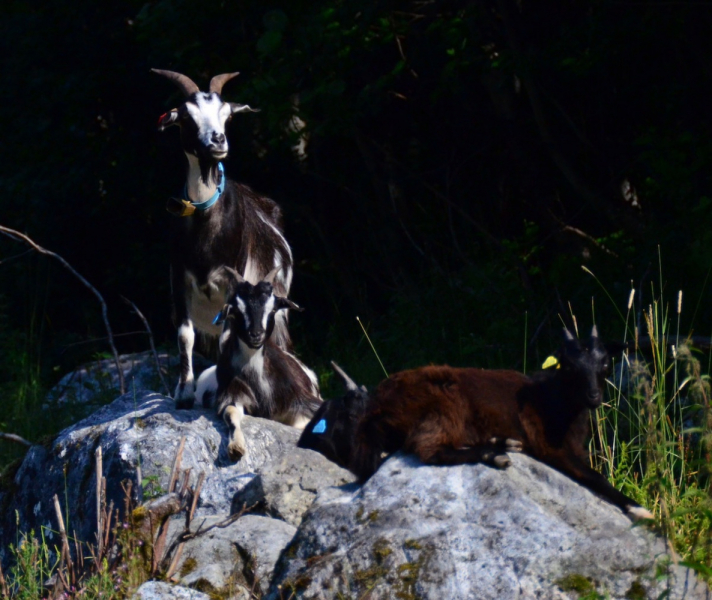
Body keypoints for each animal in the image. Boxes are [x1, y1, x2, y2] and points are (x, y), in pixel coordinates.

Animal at [152, 69, 294, 408]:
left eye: (226, 114)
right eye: (185, 115)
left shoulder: (235, 278)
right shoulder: (179, 276)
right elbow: (185, 335)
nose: (217, 141)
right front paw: (184, 391)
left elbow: (231, 331)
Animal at [199, 266, 324, 460]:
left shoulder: (303, 401)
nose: (256, 335)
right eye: (236, 310)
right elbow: (231, 413)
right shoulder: (232, 394)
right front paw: (236, 447)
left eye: (272, 310)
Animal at [348, 328, 652, 520]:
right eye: (568, 366)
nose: (594, 396)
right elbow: (596, 476)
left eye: (605, 363)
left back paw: (502, 442)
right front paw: (640, 509)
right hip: (444, 405)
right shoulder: (548, 445)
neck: (555, 401)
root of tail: (376, 404)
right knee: (429, 450)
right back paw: (494, 455)